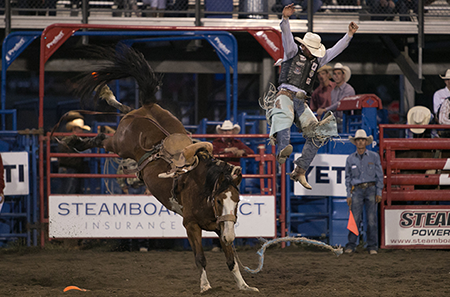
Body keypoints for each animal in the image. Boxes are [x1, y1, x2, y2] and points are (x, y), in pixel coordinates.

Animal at [64, 45, 260, 292]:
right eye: (217, 200)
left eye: (237, 200)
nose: (231, 237)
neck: (201, 187)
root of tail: (147, 108)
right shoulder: (191, 225)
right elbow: (200, 258)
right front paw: (205, 286)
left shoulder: (220, 226)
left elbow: (231, 259)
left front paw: (244, 286)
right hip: (119, 144)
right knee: (102, 138)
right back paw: (75, 139)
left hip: (130, 127)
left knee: (127, 108)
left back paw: (108, 98)